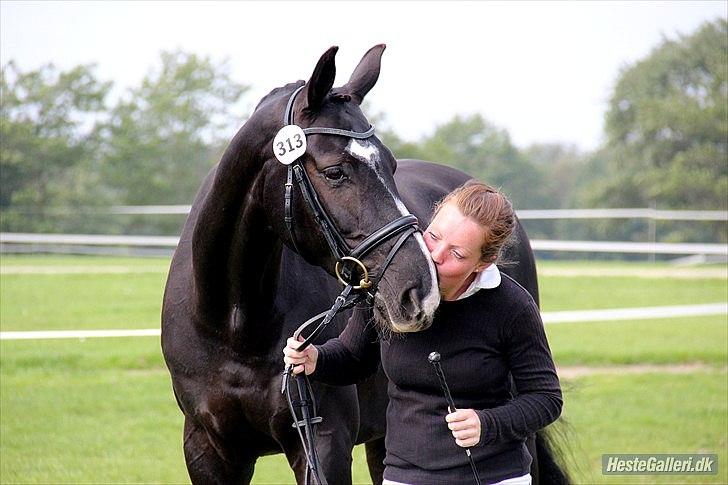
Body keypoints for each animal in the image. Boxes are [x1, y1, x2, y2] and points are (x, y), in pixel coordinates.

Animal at [161, 45, 568, 484]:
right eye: (334, 171)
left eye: (390, 165)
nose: (420, 290)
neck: (235, 323)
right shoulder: (208, 450)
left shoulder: (323, 443)